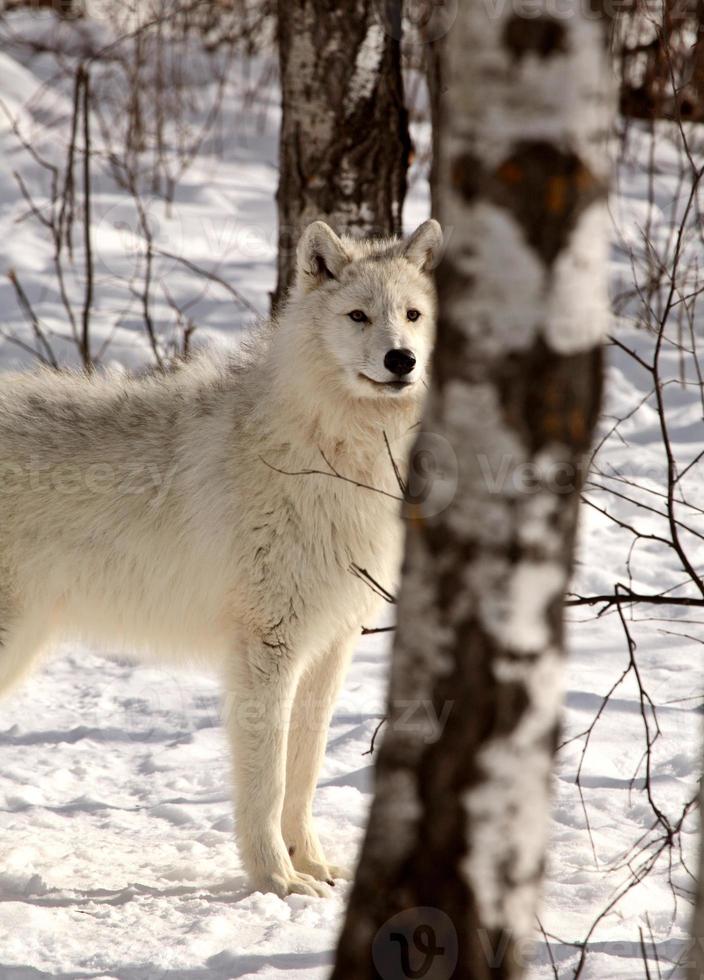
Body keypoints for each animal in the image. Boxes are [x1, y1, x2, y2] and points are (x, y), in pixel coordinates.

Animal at [0, 218, 440, 900]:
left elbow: (305, 772)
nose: (402, 360)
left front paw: (314, 866)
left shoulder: (331, 645)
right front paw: (278, 880)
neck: (334, 456)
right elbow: (267, 783)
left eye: (413, 315)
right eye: (359, 316)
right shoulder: (266, 645)